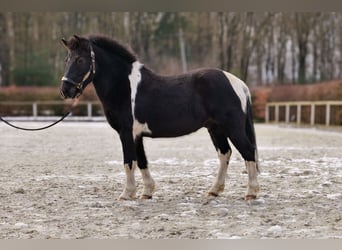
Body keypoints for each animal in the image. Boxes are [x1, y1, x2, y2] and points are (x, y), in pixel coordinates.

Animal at [60, 33, 260, 201]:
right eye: (67, 59)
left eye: (80, 60)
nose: (66, 90)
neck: (124, 86)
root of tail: (239, 84)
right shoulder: (136, 135)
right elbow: (141, 161)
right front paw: (147, 192)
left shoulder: (126, 133)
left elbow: (129, 162)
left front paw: (127, 194)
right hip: (215, 128)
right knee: (225, 153)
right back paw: (214, 191)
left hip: (232, 128)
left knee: (248, 151)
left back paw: (251, 192)